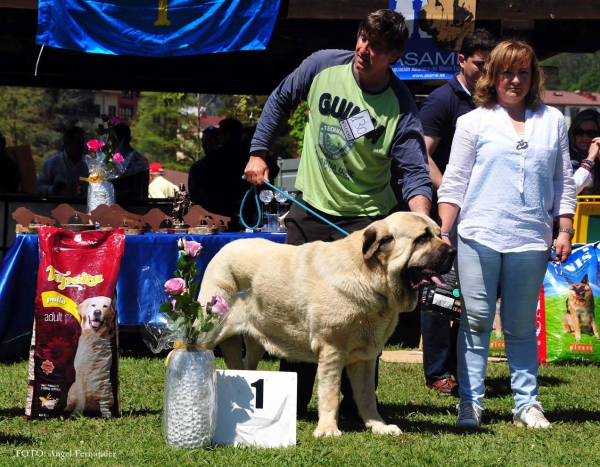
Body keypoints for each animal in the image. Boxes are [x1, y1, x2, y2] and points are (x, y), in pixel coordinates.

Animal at [199, 212, 458, 438]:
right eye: (422, 238)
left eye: (438, 234)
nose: (454, 251)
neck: (369, 276)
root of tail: (223, 249)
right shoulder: (332, 351)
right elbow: (330, 393)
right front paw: (327, 430)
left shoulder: (366, 357)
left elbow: (367, 396)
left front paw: (378, 426)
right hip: (209, 330)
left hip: (255, 343)